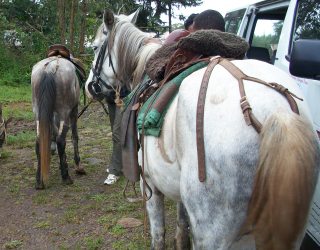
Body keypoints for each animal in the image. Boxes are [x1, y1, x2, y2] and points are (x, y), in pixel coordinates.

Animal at [31, 56, 85, 189]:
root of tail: (49, 69)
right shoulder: (74, 110)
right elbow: (74, 136)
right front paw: (78, 166)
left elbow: (53, 133)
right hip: (64, 112)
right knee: (61, 140)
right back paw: (66, 177)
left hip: (38, 112)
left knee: (39, 140)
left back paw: (39, 181)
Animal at [85, 9, 320, 250]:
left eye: (94, 47)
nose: (90, 86)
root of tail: (277, 111)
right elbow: (182, 225)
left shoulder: (149, 183)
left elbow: (158, 234)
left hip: (212, 231)